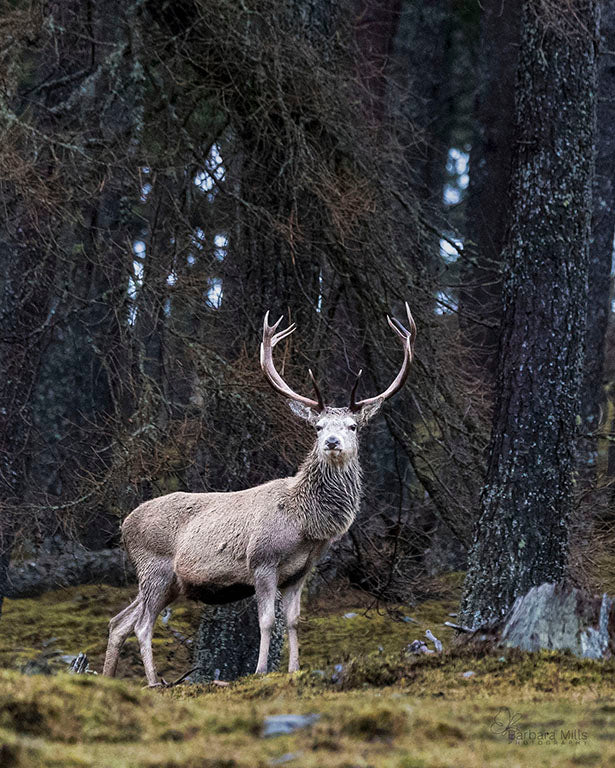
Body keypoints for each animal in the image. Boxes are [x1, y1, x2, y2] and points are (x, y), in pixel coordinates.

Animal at [102, 303, 416, 685]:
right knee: (142, 625)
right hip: (155, 568)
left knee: (120, 621)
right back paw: (152, 680)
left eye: (353, 426)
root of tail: (124, 525)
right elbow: (266, 621)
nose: (332, 442)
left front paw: (294, 669)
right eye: (318, 426)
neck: (305, 523)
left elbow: (293, 620)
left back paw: (107, 677)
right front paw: (261, 669)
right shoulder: (262, 561)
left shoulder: (301, 572)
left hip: (169, 581)